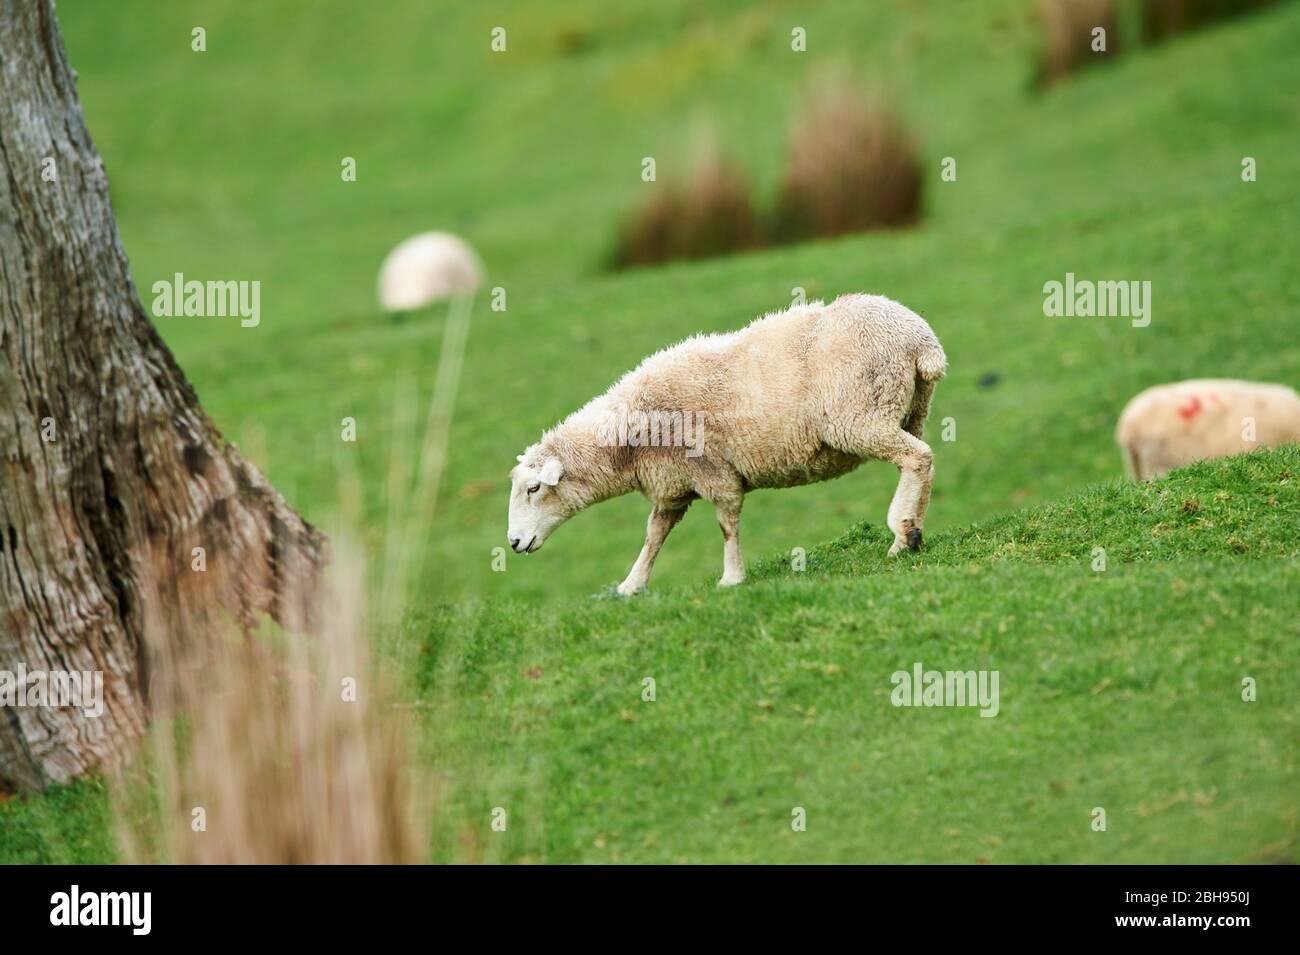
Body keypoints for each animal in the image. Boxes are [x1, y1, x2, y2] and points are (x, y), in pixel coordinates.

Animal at [506, 293, 947, 594]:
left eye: (533, 489)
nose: (513, 543)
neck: (628, 436)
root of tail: (921, 343)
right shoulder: (672, 485)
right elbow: (654, 535)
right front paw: (630, 586)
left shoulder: (713, 472)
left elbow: (726, 523)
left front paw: (731, 578)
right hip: (910, 410)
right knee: (920, 463)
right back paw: (913, 530)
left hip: (860, 416)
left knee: (917, 458)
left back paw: (901, 534)